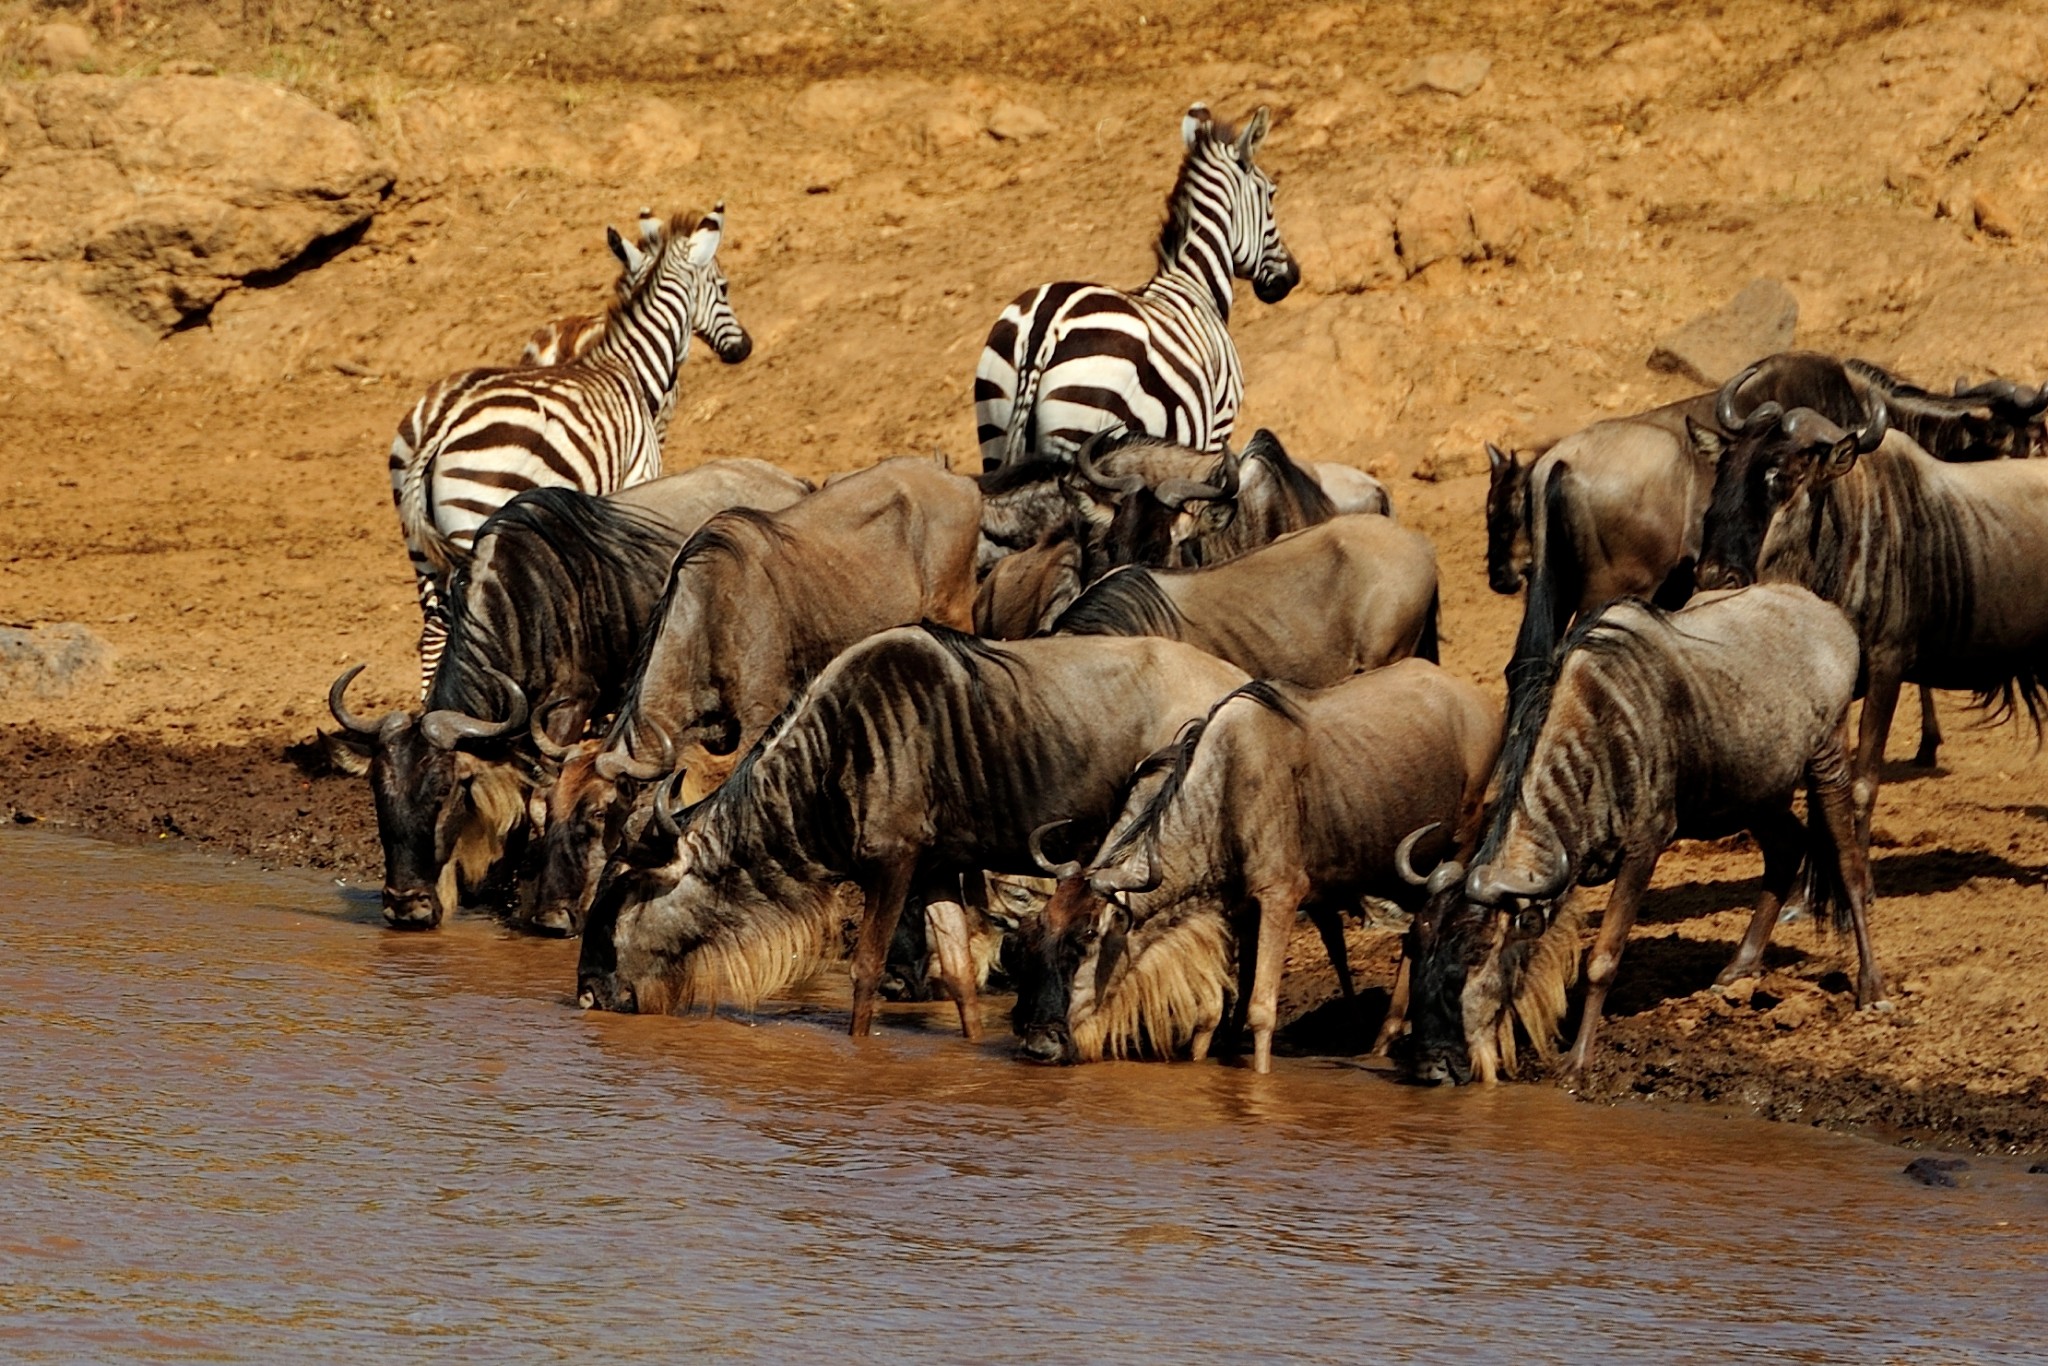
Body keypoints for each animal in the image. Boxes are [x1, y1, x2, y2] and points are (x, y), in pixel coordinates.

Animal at [385, 201, 753, 696]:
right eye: (725, 286)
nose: (743, 348)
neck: (628, 366)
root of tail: (442, 419)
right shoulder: (638, 476)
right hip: (475, 517)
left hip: (420, 544)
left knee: (431, 632)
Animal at [970, 104, 1294, 473]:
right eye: (1271, 194)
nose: (1291, 278)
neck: (1195, 285)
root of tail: (1044, 325)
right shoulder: (1218, 427)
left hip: (993, 427)